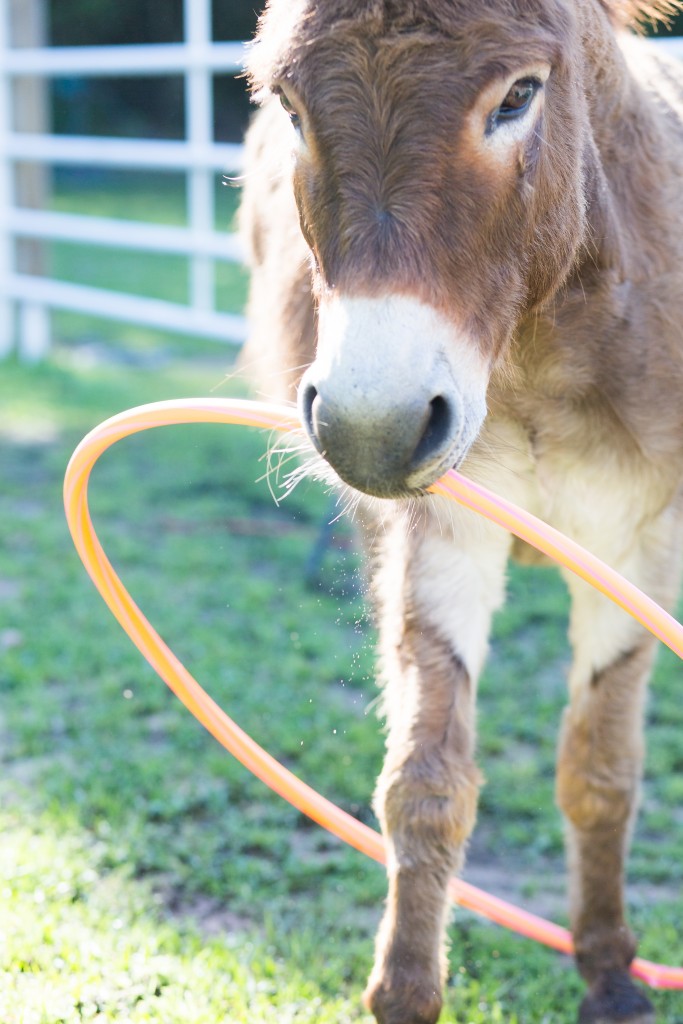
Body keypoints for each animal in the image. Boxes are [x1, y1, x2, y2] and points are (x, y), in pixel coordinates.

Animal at [238, 2, 683, 1021]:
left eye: (517, 96)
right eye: (289, 104)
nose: (371, 429)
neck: (538, 350)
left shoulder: (633, 545)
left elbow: (599, 770)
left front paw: (609, 971)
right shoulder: (441, 532)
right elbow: (424, 780)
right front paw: (406, 991)